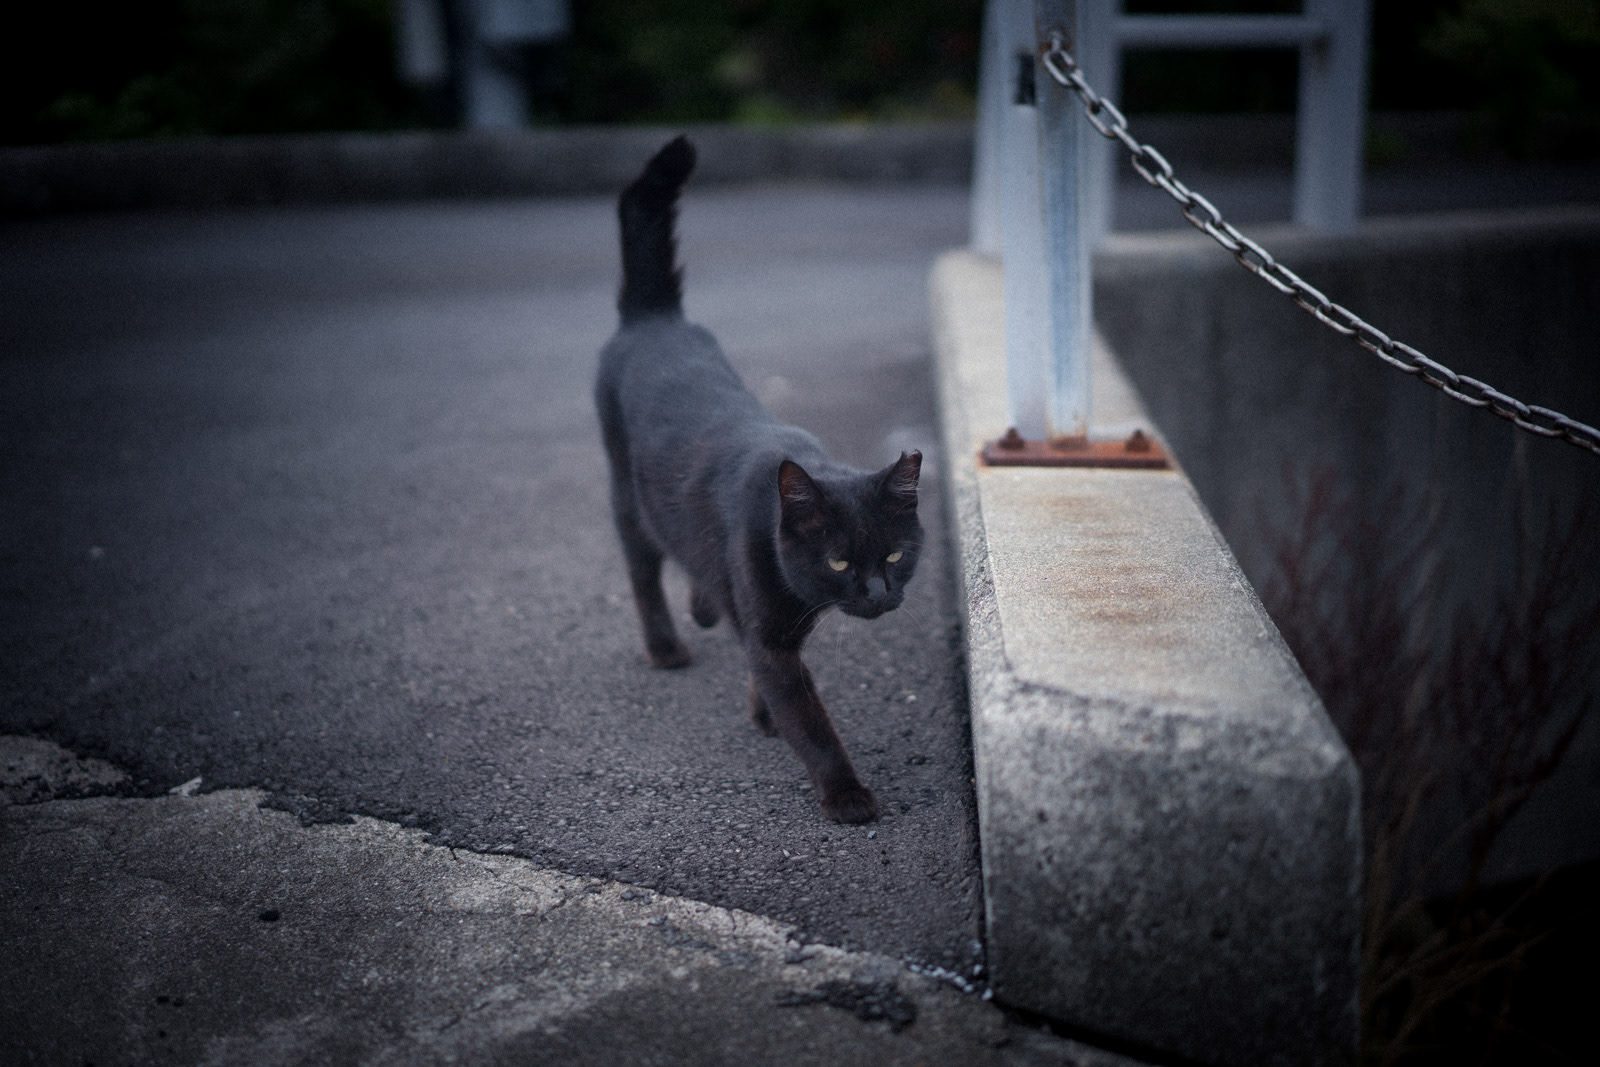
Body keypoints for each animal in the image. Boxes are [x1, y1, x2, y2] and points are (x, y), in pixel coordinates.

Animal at [594, 136, 923, 824]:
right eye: (837, 562)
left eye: (896, 556)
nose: (879, 594)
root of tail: (654, 318)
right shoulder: (772, 633)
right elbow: (809, 719)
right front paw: (846, 793)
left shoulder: (774, 624)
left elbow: (763, 665)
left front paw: (762, 712)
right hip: (627, 497)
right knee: (643, 571)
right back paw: (666, 647)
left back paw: (703, 609)